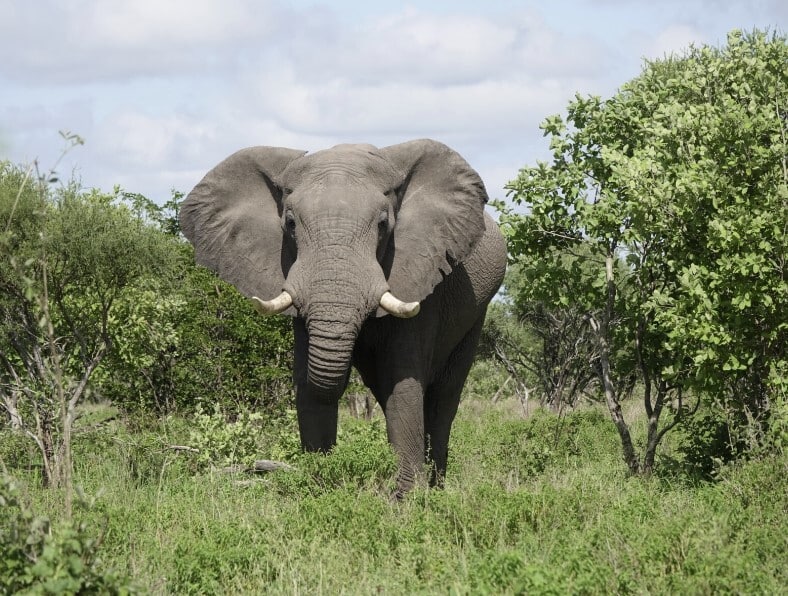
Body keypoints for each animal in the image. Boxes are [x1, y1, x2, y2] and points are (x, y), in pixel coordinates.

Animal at [179, 140, 504, 498]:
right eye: (290, 224)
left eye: (383, 225)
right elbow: (309, 383)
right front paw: (321, 490)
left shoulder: (420, 272)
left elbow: (402, 381)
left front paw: (406, 501)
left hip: (476, 313)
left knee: (442, 398)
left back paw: (437, 487)